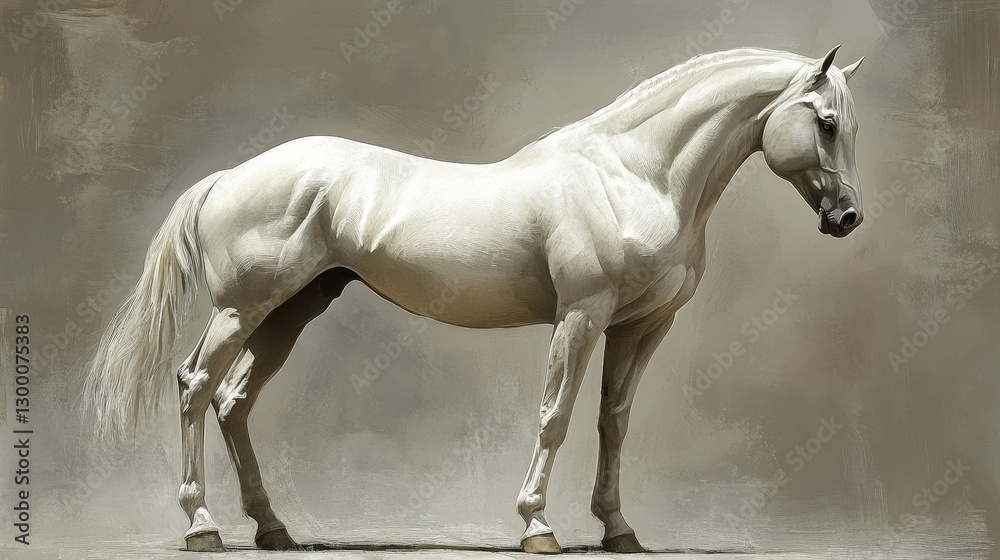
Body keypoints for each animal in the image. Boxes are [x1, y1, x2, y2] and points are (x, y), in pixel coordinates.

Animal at [84, 46, 865, 553]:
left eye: (848, 126)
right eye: (826, 122)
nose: (849, 218)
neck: (632, 175)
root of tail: (232, 175)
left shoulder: (642, 327)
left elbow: (613, 422)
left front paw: (619, 530)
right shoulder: (581, 316)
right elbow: (556, 417)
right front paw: (537, 526)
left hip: (290, 313)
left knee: (233, 401)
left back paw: (274, 530)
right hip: (242, 310)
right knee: (193, 387)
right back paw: (202, 526)